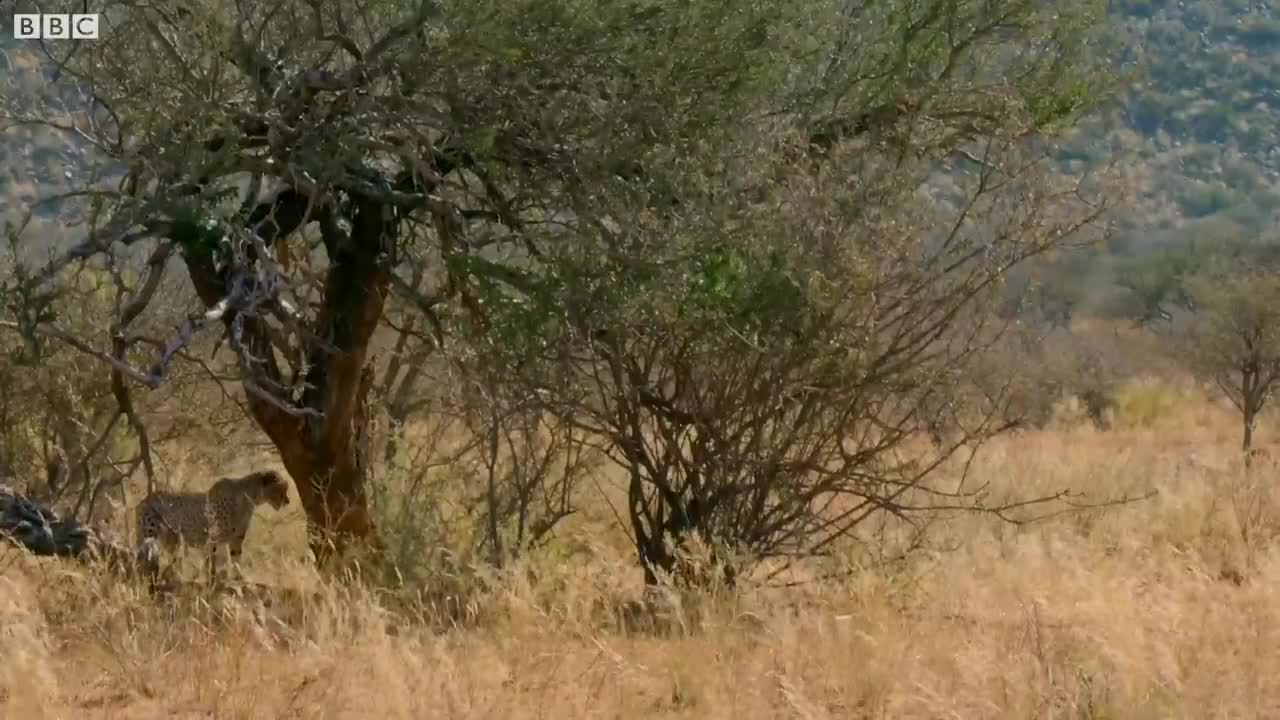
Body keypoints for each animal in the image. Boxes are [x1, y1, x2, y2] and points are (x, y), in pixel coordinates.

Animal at [137, 466, 293, 576]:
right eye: (282, 488)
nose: (288, 501)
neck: (250, 497)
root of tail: (145, 499)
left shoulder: (236, 539)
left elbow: (236, 560)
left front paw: (238, 579)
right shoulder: (213, 537)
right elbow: (211, 563)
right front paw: (212, 582)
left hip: (171, 540)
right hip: (150, 536)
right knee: (143, 561)